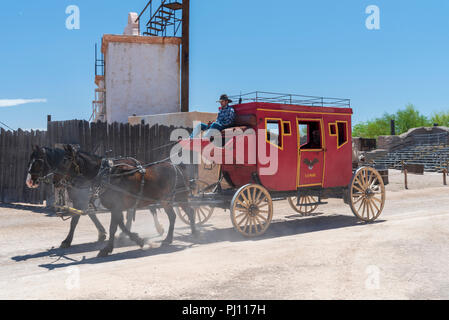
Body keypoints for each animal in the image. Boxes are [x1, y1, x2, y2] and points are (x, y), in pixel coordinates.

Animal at [60, 144, 197, 256]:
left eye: (65, 161)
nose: (59, 182)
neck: (106, 175)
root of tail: (177, 167)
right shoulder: (116, 207)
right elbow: (120, 225)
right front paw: (139, 240)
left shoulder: (116, 207)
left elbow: (113, 227)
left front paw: (107, 249)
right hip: (166, 201)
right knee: (173, 216)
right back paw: (169, 238)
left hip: (180, 197)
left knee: (190, 212)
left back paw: (195, 234)